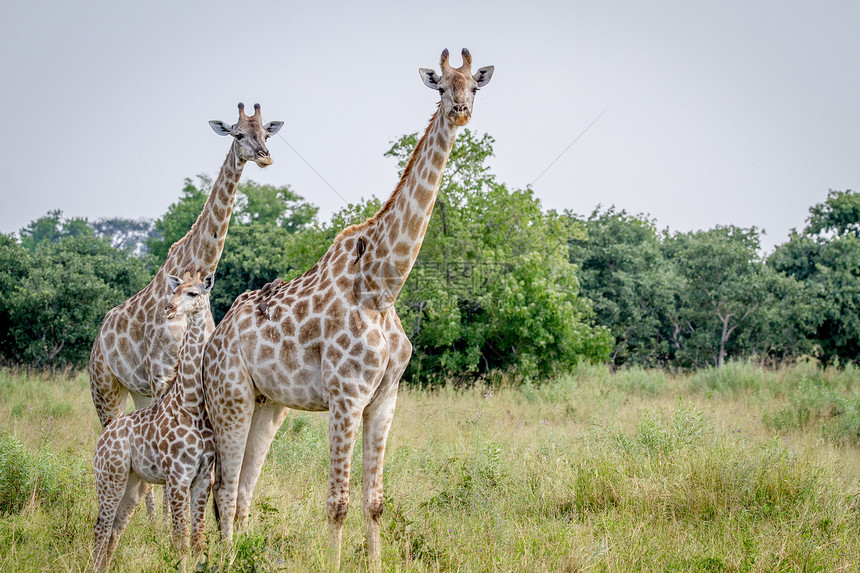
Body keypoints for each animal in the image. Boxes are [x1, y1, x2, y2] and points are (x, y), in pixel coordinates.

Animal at [88, 103, 282, 512]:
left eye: (266, 133)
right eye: (238, 134)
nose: (264, 156)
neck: (196, 263)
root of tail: (99, 336)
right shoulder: (163, 373)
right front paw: (168, 525)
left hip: (139, 391)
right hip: (105, 387)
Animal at [91, 270, 215, 572]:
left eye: (193, 293)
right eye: (174, 291)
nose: (169, 309)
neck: (191, 402)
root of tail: (103, 438)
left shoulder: (203, 478)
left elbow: (198, 541)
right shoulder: (178, 477)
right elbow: (180, 541)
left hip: (134, 483)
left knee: (115, 527)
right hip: (109, 476)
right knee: (101, 525)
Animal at [202, 48, 494, 568]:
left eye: (475, 86)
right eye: (441, 87)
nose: (461, 111)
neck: (381, 286)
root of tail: (212, 343)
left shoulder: (384, 399)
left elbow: (374, 502)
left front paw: (377, 563)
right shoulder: (345, 397)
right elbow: (336, 503)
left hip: (266, 405)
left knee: (243, 490)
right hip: (229, 398)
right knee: (224, 486)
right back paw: (227, 560)